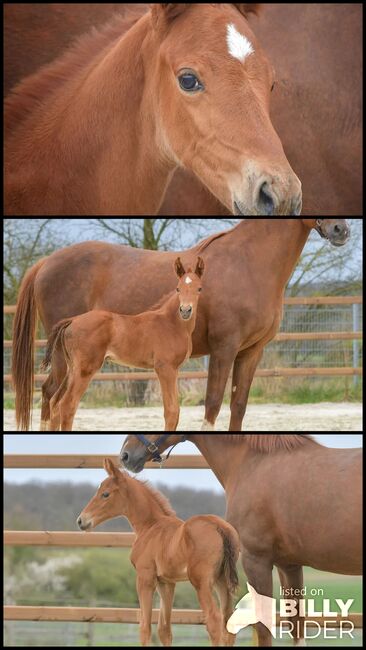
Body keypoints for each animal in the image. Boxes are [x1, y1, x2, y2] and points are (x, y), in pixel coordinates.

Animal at [42, 256, 206, 428]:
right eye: (178, 288)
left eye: (199, 289)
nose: (185, 311)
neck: (171, 323)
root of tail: (72, 320)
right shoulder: (165, 368)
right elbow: (172, 412)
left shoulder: (175, 370)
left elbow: (176, 411)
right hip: (85, 369)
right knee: (67, 405)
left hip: (72, 369)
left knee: (55, 403)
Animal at [78, 458, 239, 644]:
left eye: (105, 494)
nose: (81, 521)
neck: (151, 525)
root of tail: (219, 527)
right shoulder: (166, 582)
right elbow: (164, 629)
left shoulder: (145, 577)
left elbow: (145, 627)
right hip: (221, 580)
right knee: (228, 621)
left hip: (201, 582)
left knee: (214, 619)